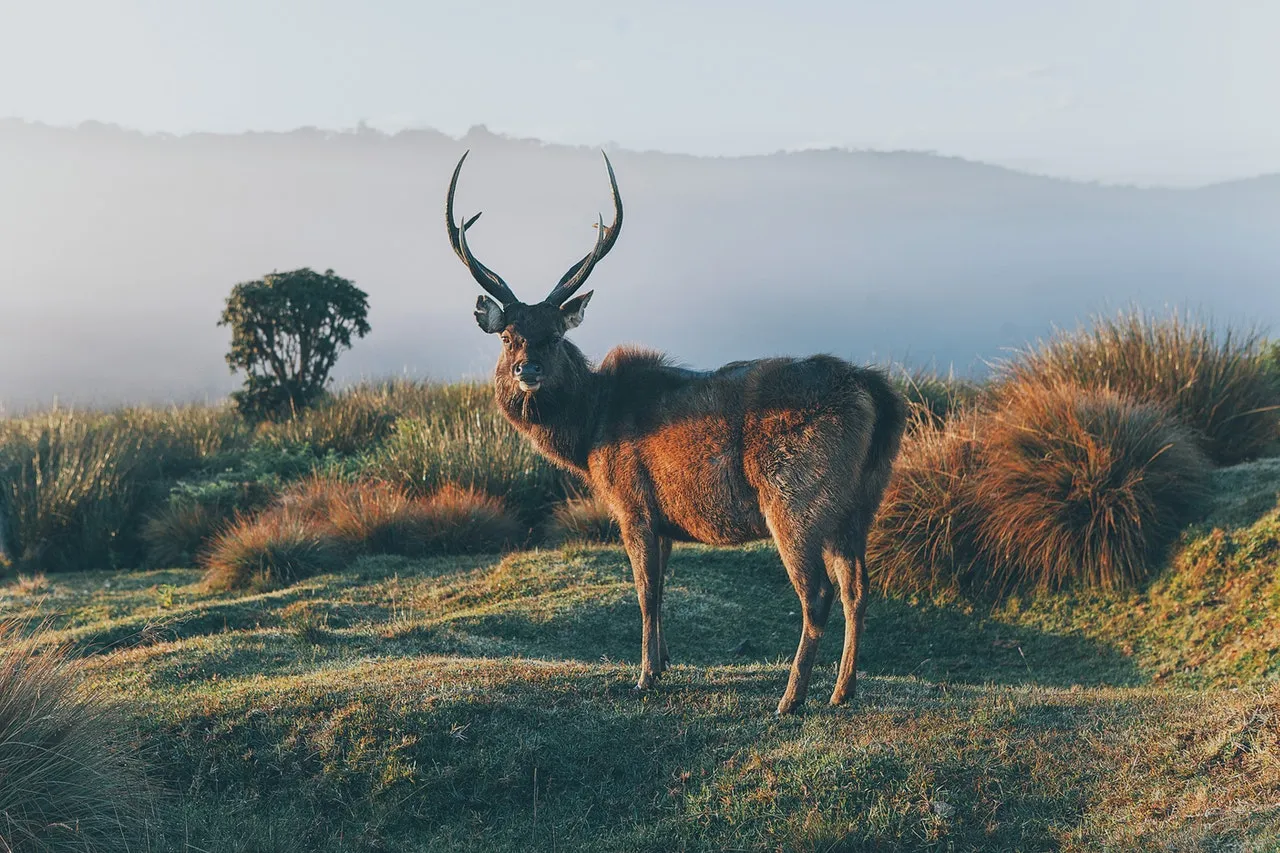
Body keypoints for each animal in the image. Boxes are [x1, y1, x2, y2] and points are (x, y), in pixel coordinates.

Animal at [445, 151, 906, 712]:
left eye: (554, 336)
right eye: (508, 335)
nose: (526, 370)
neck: (590, 434)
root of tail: (877, 394)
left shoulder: (632, 503)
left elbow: (645, 592)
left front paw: (643, 676)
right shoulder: (664, 519)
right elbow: (662, 590)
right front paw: (664, 662)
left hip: (796, 497)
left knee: (817, 593)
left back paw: (791, 698)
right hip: (862, 501)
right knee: (858, 587)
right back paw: (843, 690)